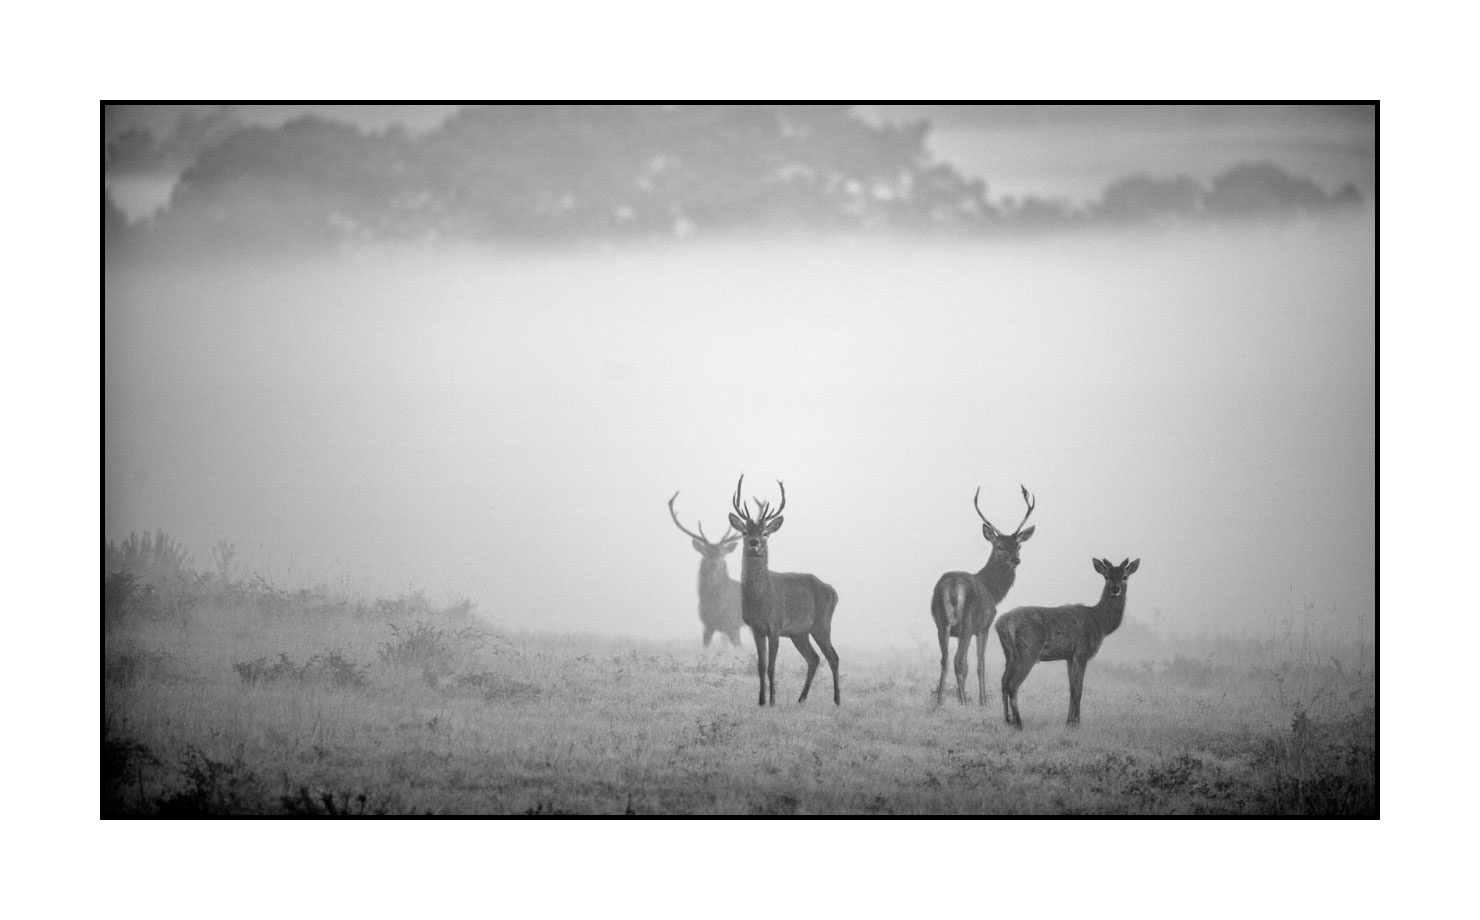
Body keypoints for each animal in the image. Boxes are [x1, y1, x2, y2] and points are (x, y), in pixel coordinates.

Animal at [727, 475, 840, 707]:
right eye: (744, 532)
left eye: (765, 533)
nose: (754, 542)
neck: (761, 599)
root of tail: (834, 592)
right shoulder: (756, 628)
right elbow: (760, 666)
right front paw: (761, 701)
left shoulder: (776, 625)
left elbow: (772, 667)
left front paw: (772, 701)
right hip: (800, 632)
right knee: (814, 658)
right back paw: (801, 698)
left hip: (822, 624)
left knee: (833, 656)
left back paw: (837, 699)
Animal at [930, 485, 1037, 706]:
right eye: (999, 546)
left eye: (1018, 546)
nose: (1015, 560)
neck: (993, 591)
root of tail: (953, 587)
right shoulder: (985, 627)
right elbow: (980, 665)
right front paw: (983, 702)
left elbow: (968, 665)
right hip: (967, 623)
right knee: (957, 660)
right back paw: (963, 702)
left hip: (942, 623)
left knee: (945, 660)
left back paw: (939, 702)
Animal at [995, 557, 1141, 728]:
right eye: (1106, 576)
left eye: (1125, 576)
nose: (1115, 589)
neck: (1100, 623)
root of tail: (1001, 623)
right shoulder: (1082, 652)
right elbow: (1079, 689)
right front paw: (1077, 722)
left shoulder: (1069, 656)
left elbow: (1071, 689)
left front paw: (1068, 721)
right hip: (1028, 651)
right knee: (1013, 685)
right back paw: (1018, 722)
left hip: (1010, 654)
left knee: (1004, 681)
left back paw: (1007, 720)